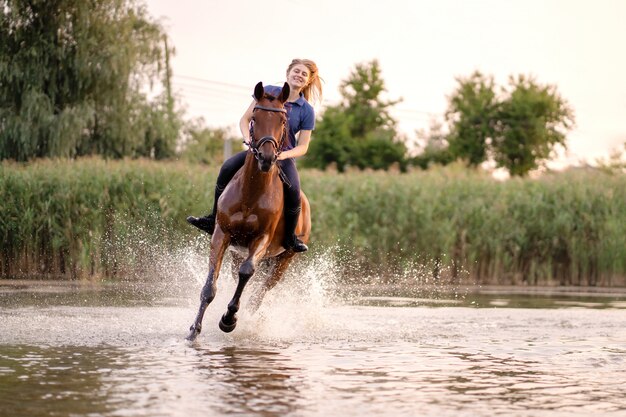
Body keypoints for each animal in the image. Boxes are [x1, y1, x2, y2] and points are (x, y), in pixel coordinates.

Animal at [185, 82, 312, 342]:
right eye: (254, 117)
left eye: (283, 121)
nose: (267, 157)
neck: (251, 193)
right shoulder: (221, 235)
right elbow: (210, 286)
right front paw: (194, 330)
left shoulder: (261, 240)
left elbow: (247, 273)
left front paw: (229, 320)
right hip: (237, 252)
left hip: (284, 260)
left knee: (260, 292)